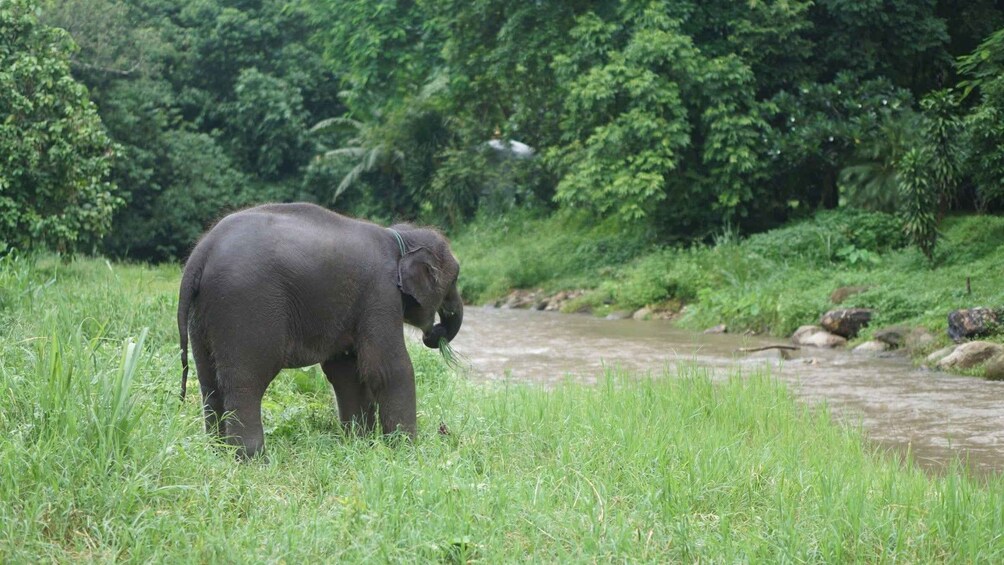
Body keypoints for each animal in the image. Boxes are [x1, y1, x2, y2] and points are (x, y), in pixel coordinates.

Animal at [177, 202, 463, 459]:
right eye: (455, 277)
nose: (433, 334)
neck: (398, 237)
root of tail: (201, 253)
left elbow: (346, 371)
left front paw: (359, 445)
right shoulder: (381, 293)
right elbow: (388, 368)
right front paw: (406, 451)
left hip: (202, 316)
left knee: (209, 381)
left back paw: (217, 453)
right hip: (244, 306)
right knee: (246, 381)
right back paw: (252, 459)